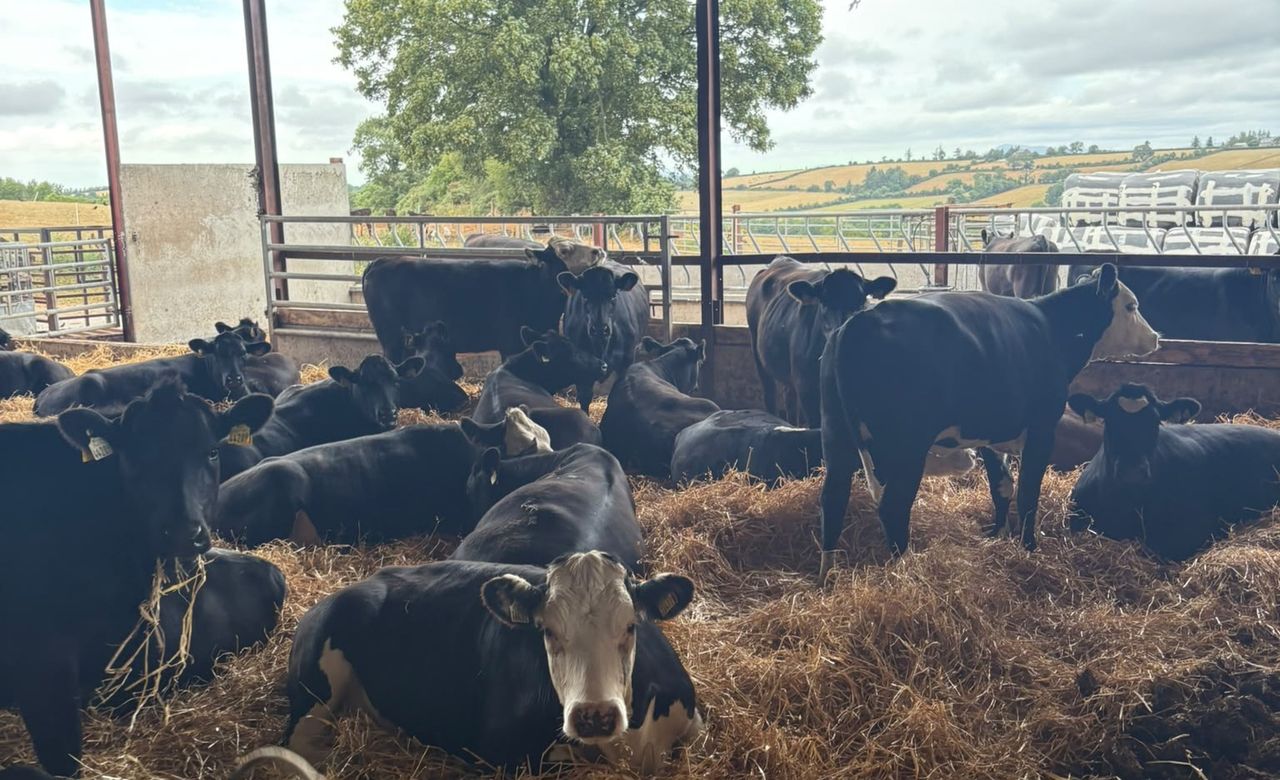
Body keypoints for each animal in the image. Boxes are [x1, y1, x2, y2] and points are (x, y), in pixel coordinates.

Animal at [283, 553, 697, 772]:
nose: (594, 715)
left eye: (630, 625)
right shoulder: (498, 752)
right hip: (313, 690)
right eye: (547, 630)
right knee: (299, 744)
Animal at [746, 256, 896, 426]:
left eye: (861, 301)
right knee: (769, 394)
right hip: (757, 351)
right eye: (824, 302)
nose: (841, 330)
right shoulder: (807, 389)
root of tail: (779, 260)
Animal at [817, 264, 1160, 579]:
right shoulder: (1042, 428)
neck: (1051, 328)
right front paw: (1029, 547)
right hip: (906, 447)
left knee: (833, 497)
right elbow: (1028, 493)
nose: (1155, 337)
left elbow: (1002, 486)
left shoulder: (992, 435)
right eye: (1131, 306)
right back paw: (906, 567)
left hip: (836, 433)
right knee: (893, 507)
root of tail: (857, 323)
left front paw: (998, 535)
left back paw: (827, 574)